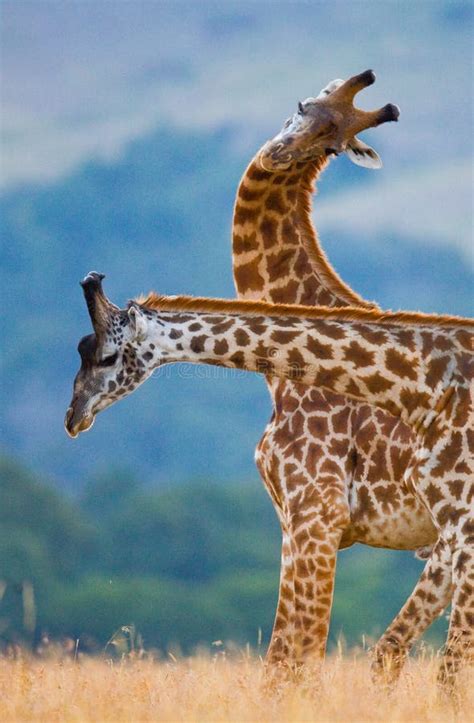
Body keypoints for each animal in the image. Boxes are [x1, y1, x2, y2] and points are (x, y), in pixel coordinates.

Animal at [65, 272, 474, 692]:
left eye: (108, 356)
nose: (74, 415)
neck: (428, 388)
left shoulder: (335, 519)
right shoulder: (297, 525)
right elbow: (283, 658)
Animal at [233, 69, 444, 680]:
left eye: (332, 144)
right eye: (302, 107)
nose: (281, 154)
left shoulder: (317, 513)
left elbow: (292, 657)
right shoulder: (291, 522)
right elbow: (286, 657)